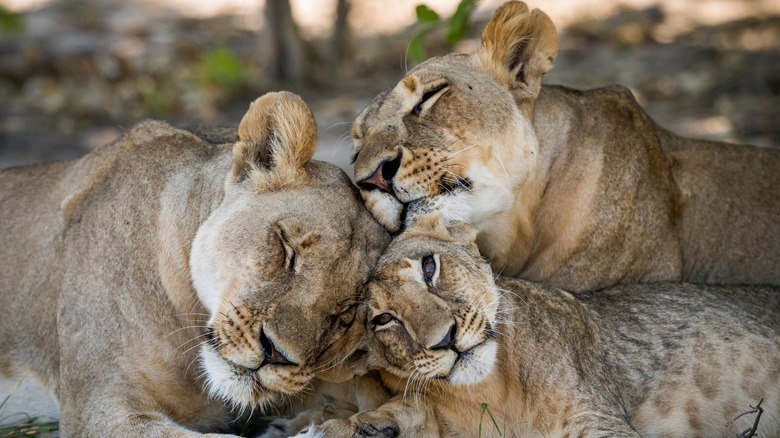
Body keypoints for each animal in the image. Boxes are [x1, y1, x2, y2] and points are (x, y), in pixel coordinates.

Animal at [304, 219, 780, 438]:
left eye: (428, 268)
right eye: (383, 319)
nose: (446, 340)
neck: (493, 394)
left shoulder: (598, 417)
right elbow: (400, 413)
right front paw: (349, 427)